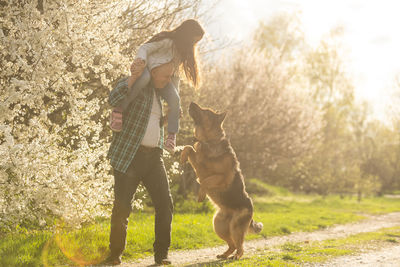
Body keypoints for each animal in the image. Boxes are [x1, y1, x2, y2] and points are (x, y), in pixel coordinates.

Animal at [180, 102, 262, 260]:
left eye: (206, 111)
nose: (191, 102)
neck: (209, 141)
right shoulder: (198, 165)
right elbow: (189, 147)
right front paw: (182, 157)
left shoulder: (222, 177)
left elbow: (205, 181)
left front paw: (201, 195)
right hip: (218, 226)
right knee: (232, 245)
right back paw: (225, 255)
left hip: (235, 228)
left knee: (240, 247)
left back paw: (236, 256)